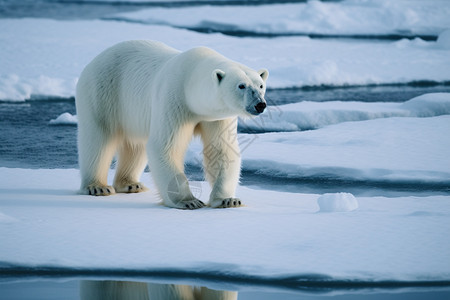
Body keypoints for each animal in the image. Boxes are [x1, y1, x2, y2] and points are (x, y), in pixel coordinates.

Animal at [75, 39, 268, 209]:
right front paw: (189, 201)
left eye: (260, 85)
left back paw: (130, 184)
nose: (260, 104)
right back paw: (97, 187)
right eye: (241, 86)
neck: (191, 81)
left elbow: (222, 149)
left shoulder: (217, 117)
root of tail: (96, 59)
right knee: (98, 139)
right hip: (102, 91)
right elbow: (165, 146)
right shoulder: (173, 98)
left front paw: (228, 200)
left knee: (136, 145)